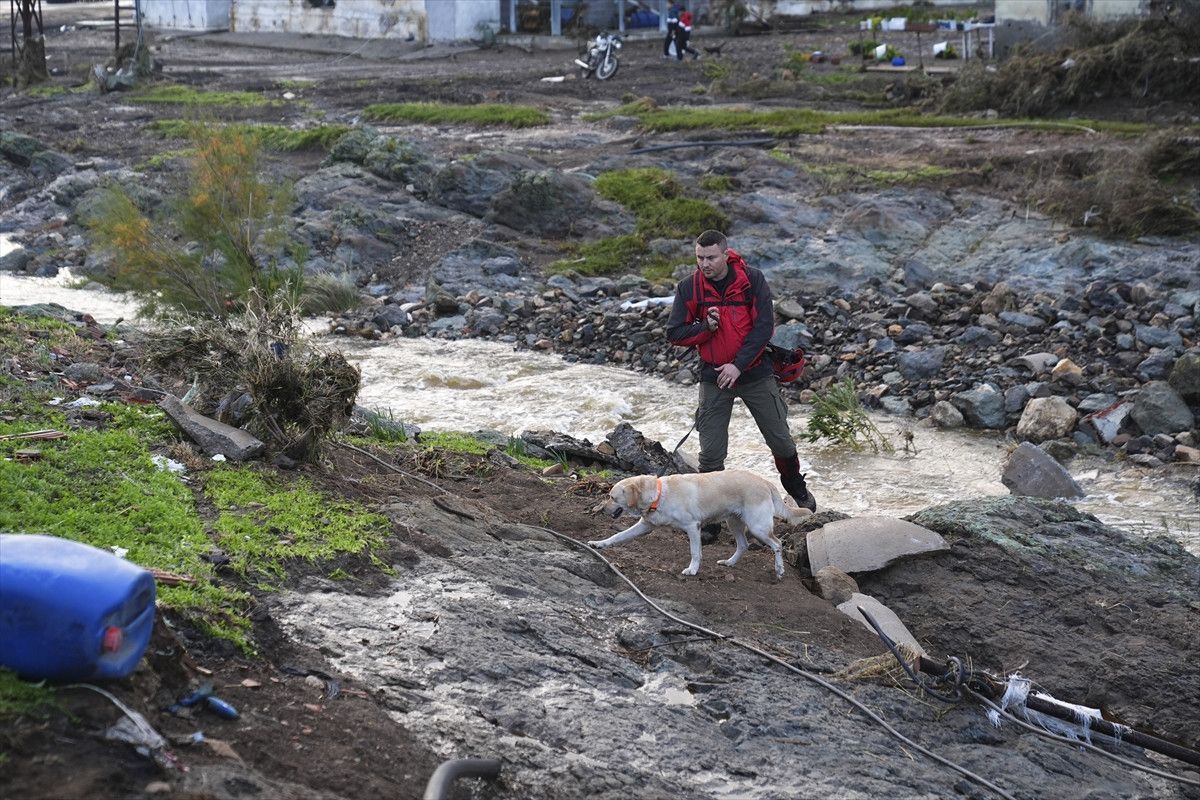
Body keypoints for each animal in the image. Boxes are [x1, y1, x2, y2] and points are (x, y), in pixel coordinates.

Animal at [588, 470, 812, 579]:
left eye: (612, 497)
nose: (601, 510)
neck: (659, 494)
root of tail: (765, 482)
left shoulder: (692, 527)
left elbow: (695, 552)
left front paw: (692, 570)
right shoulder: (645, 526)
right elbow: (618, 536)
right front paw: (599, 544)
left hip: (758, 526)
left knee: (777, 544)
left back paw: (779, 570)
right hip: (734, 522)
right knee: (743, 545)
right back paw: (729, 562)